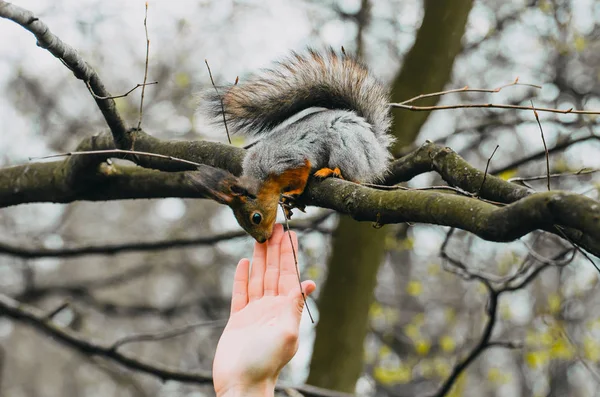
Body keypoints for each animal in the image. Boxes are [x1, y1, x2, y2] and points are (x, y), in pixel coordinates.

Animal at [203, 49, 394, 241]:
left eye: (256, 217)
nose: (262, 240)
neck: (263, 175)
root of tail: (376, 146)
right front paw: (287, 203)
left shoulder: (290, 160)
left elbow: (302, 174)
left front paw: (294, 192)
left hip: (347, 143)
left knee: (352, 174)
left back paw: (332, 171)